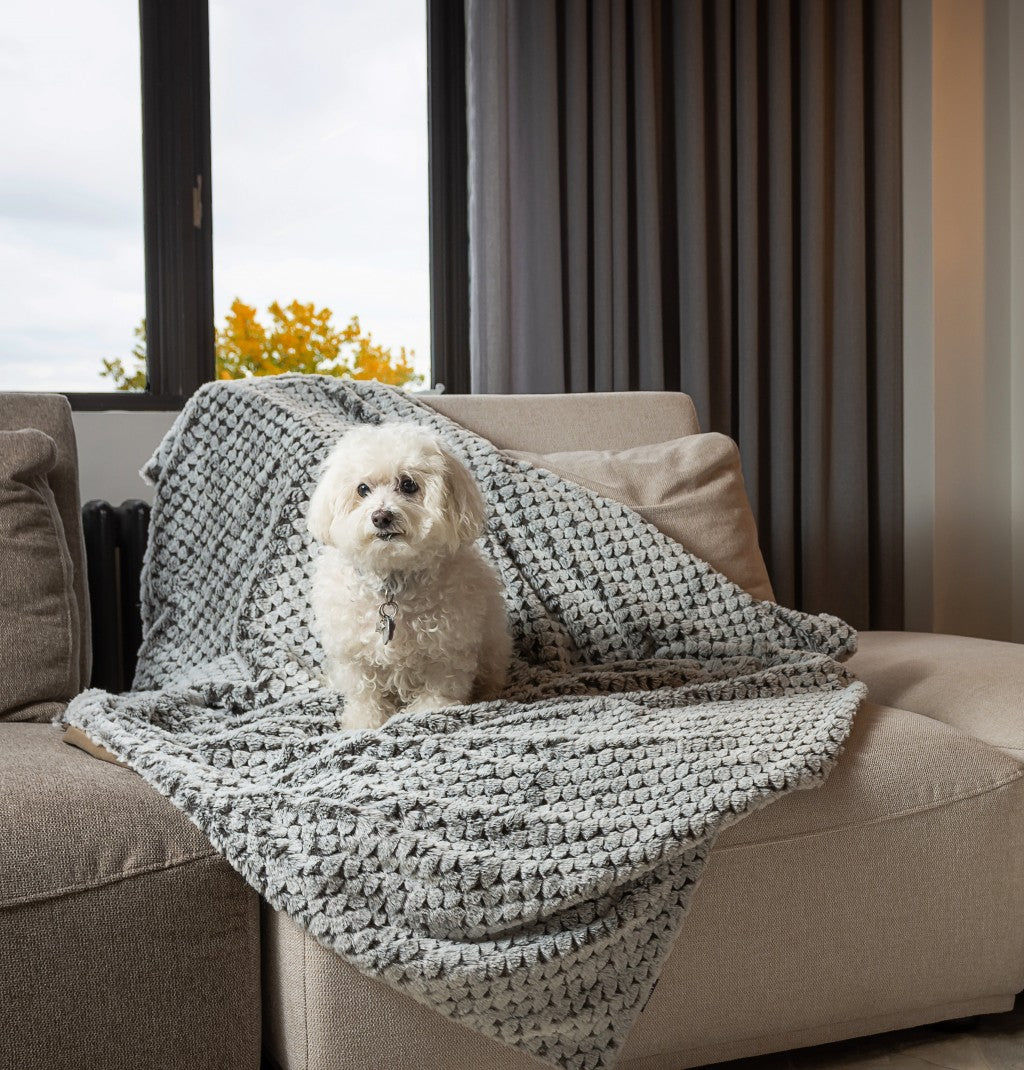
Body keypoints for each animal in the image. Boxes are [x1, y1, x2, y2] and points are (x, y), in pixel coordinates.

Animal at [306, 421, 509, 731]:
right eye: (362, 489)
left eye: (408, 484)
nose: (381, 516)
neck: (392, 579)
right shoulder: (355, 654)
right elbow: (364, 692)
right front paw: (364, 721)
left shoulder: (448, 649)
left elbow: (439, 689)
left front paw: (427, 714)